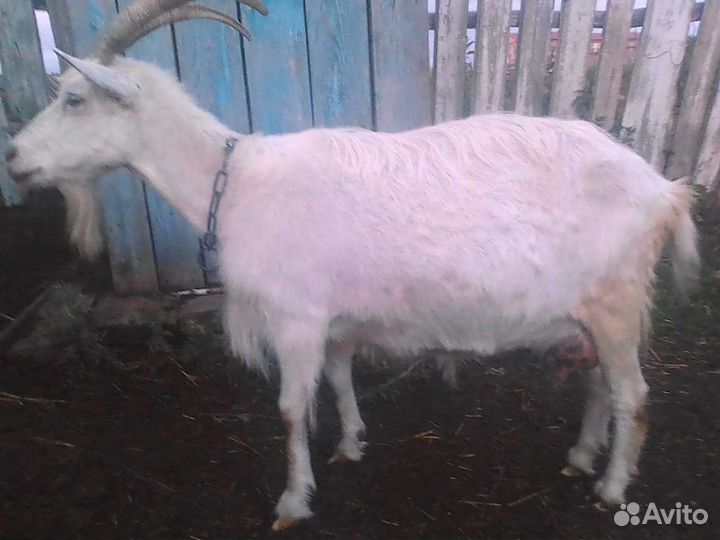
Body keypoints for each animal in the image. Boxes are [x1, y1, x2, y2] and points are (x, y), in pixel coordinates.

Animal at [5, 0, 700, 530]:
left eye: (74, 98)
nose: (12, 157)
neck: (235, 184)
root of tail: (665, 190)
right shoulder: (332, 317)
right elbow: (339, 379)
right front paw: (349, 446)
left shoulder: (295, 318)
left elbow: (291, 407)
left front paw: (292, 502)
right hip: (596, 310)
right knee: (601, 384)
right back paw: (580, 456)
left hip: (615, 300)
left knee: (634, 394)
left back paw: (611, 489)